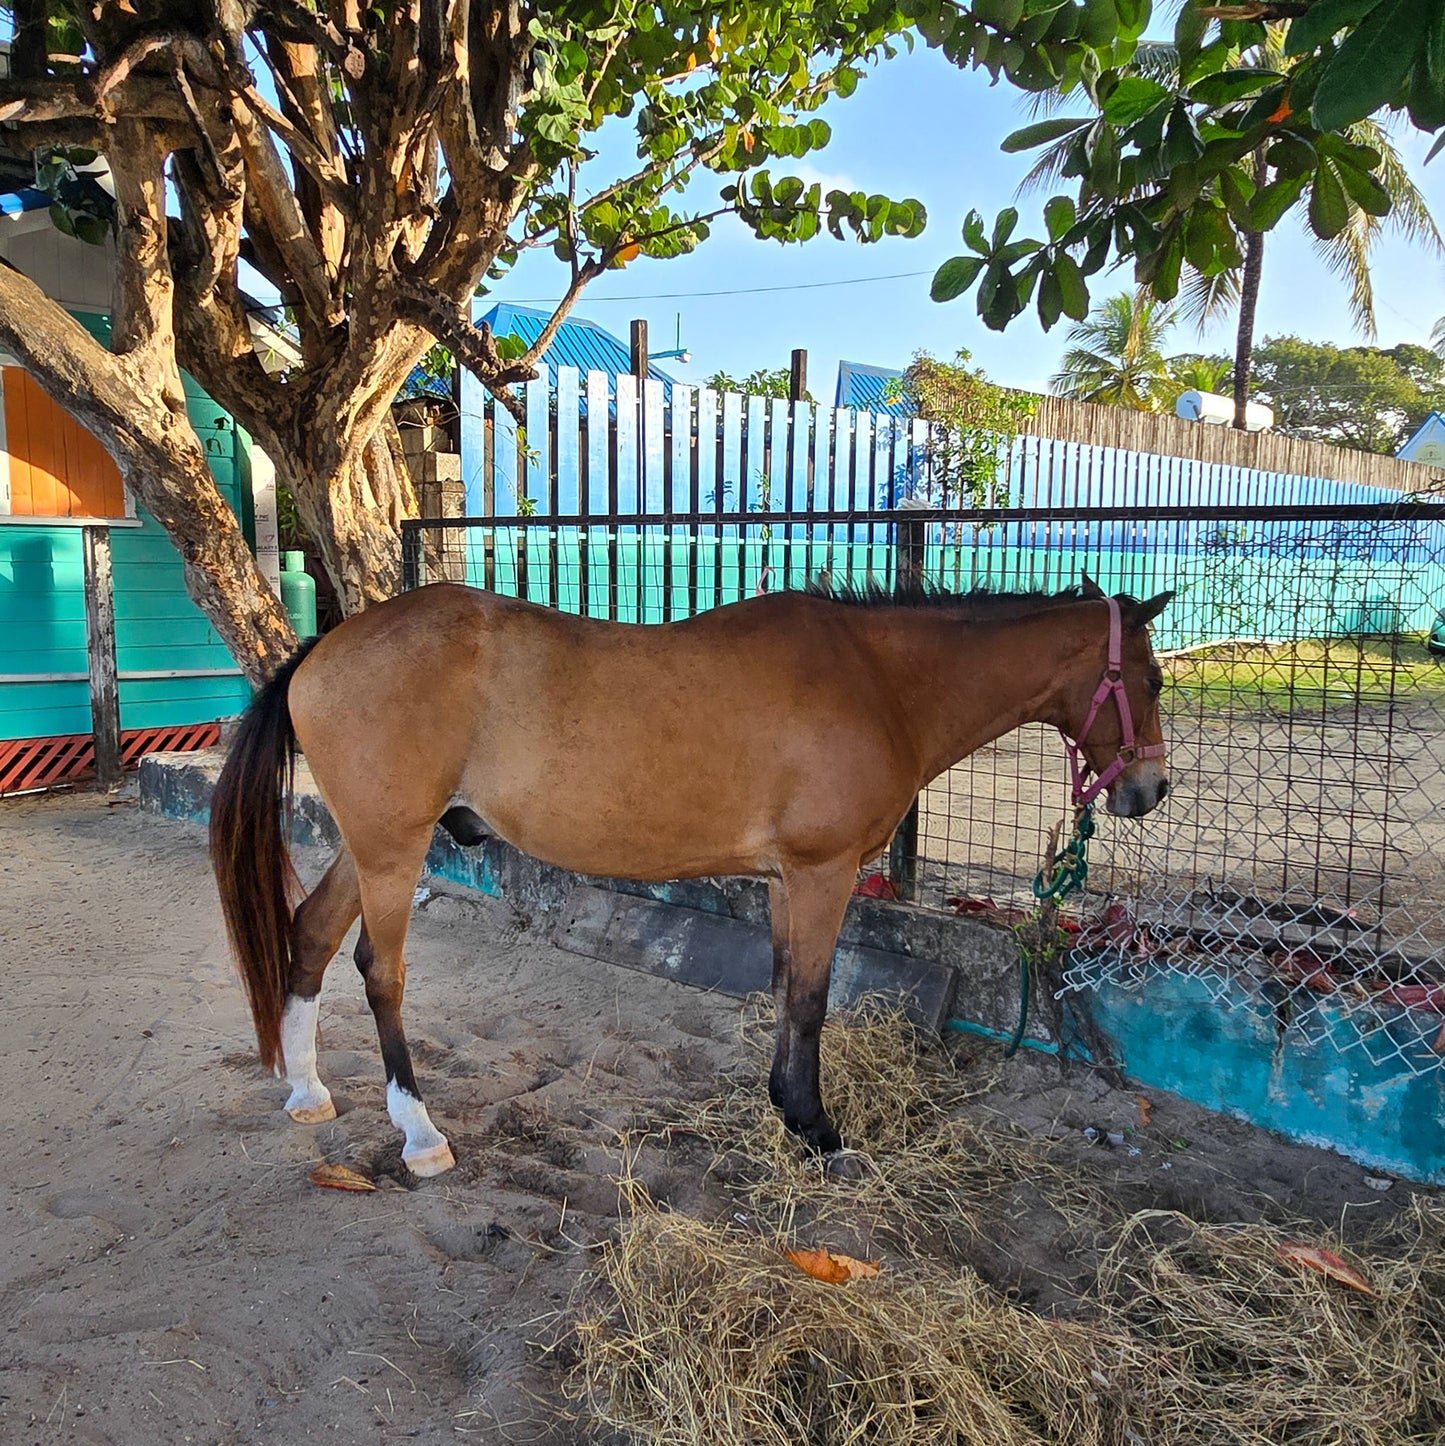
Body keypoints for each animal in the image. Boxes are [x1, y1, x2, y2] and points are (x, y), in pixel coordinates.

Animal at [210, 575, 1171, 1178]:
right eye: (1153, 678)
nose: (1150, 789)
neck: (877, 679)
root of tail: (324, 649)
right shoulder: (821, 873)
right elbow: (810, 999)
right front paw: (820, 1133)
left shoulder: (785, 880)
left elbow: (783, 989)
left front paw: (787, 1109)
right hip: (392, 851)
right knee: (381, 972)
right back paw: (419, 1133)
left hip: (365, 846)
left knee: (309, 936)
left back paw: (307, 1091)